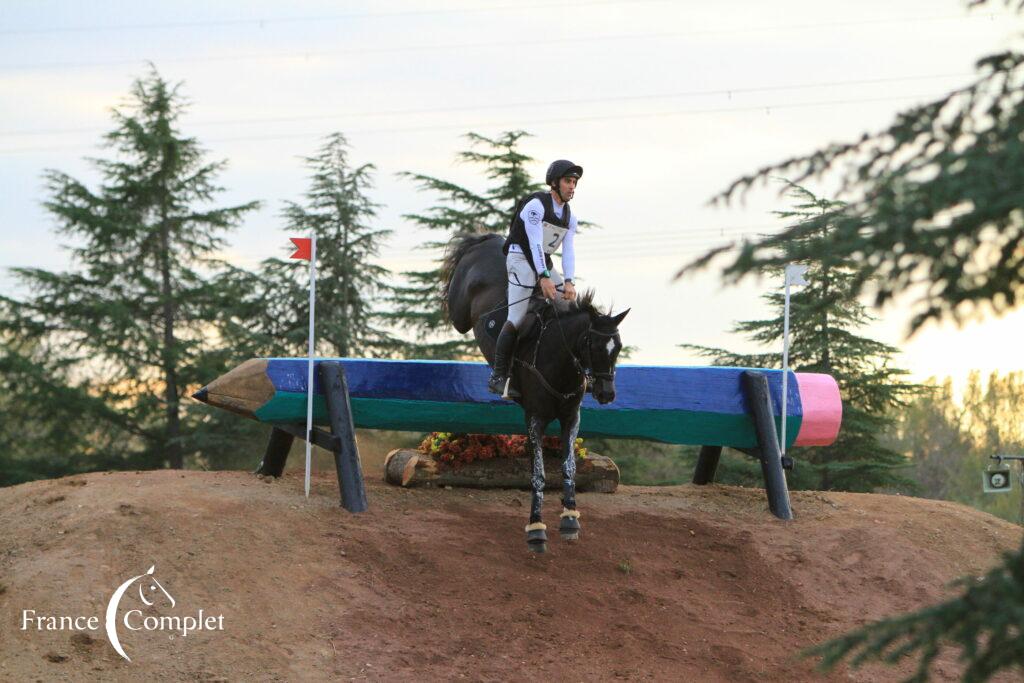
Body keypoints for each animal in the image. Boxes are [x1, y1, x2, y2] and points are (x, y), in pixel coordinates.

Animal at [438, 232, 622, 552]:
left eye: (618, 348)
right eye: (594, 346)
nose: (606, 394)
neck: (559, 359)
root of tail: (487, 239)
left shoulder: (571, 418)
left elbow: (569, 467)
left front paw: (570, 518)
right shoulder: (535, 418)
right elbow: (538, 473)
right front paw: (536, 529)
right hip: (461, 311)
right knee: (463, 315)